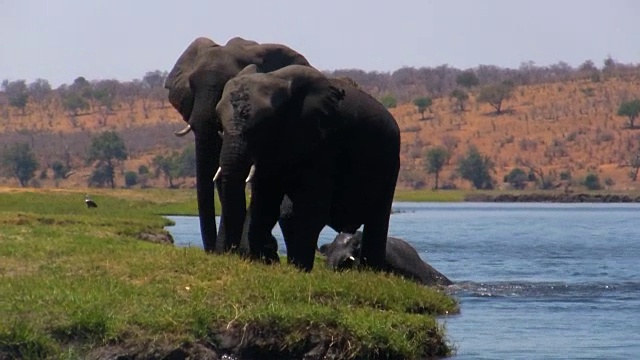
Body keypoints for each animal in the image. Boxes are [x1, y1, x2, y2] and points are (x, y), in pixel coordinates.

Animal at [215, 64, 400, 272]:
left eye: (263, 125)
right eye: (218, 121)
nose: (228, 253)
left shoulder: (326, 142)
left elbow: (312, 208)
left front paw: (300, 270)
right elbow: (265, 204)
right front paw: (261, 263)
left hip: (391, 162)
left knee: (378, 222)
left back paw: (370, 271)